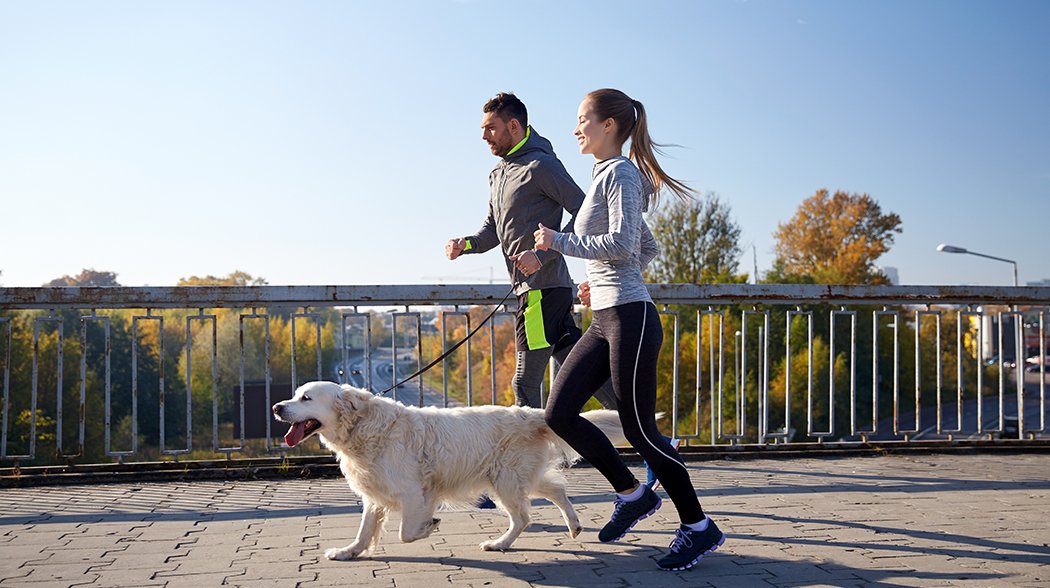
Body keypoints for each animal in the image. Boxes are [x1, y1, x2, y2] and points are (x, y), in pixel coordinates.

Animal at [275, 382, 625, 558]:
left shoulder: (413, 493)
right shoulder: (375, 493)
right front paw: (348, 552)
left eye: (306, 398)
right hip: (517, 477)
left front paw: (429, 526)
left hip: (505, 481)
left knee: (524, 516)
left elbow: (405, 533)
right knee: (556, 488)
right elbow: (364, 531)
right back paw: (574, 525)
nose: (277, 407)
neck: (364, 426)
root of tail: (529, 413)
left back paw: (499, 544)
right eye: (294, 395)